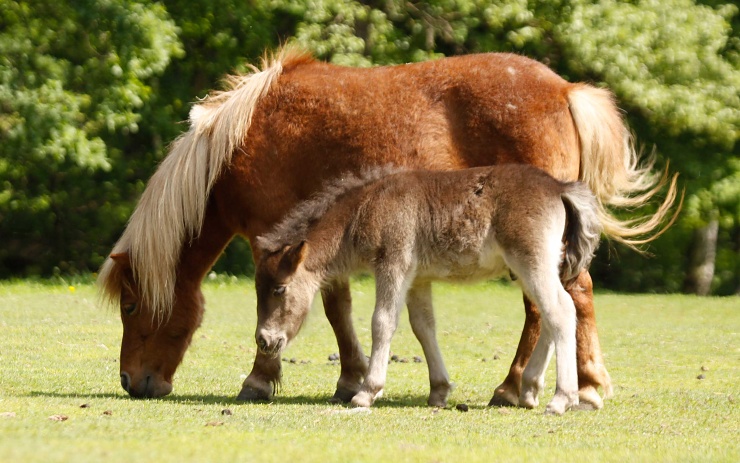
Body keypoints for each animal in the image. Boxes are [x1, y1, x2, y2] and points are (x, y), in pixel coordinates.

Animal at [253, 164, 603, 415]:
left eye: (280, 290)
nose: (264, 340)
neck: (368, 206)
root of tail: (559, 187)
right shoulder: (418, 278)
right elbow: (423, 327)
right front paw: (439, 390)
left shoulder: (393, 264)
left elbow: (382, 322)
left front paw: (366, 392)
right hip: (537, 266)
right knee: (551, 313)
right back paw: (530, 390)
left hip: (531, 262)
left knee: (560, 310)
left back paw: (561, 399)